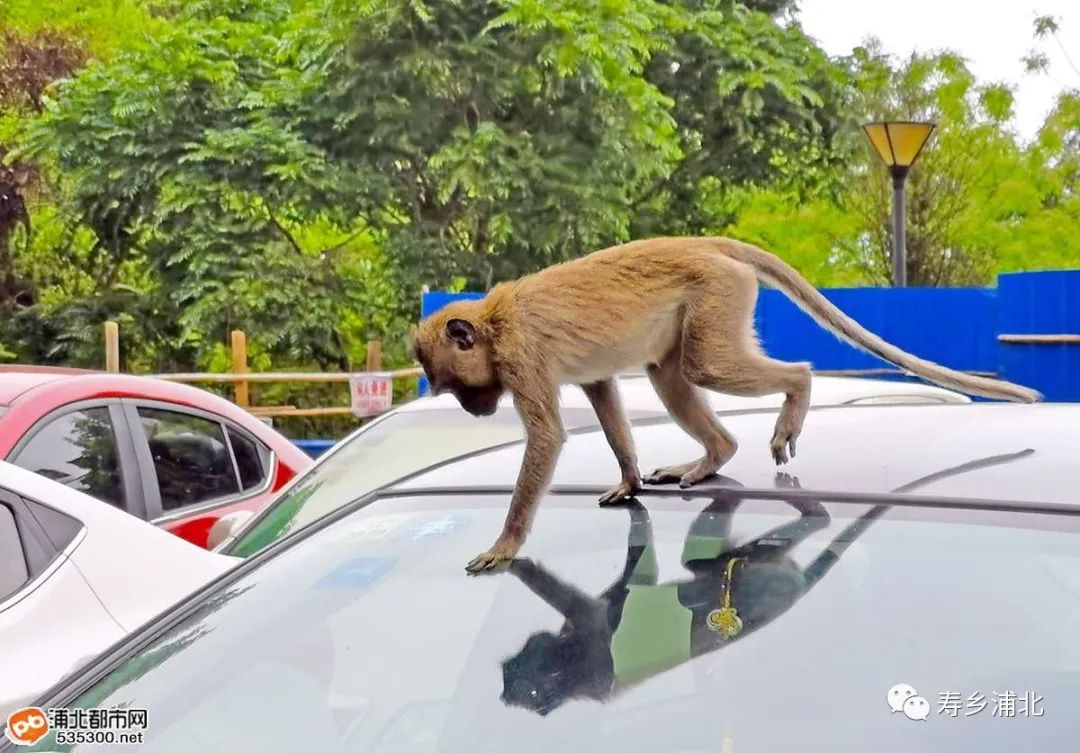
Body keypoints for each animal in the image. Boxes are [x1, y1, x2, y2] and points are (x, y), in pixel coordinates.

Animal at [408, 235, 1041, 570]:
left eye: (459, 387)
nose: (474, 411)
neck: (493, 323)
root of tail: (697, 242)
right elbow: (601, 392)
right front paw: (629, 480)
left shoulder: (521, 358)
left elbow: (547, 435)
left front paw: (506, 544)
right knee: (670, 373)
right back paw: (716, 453)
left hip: (716, 291)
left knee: (705, 368)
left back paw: (796, 389)